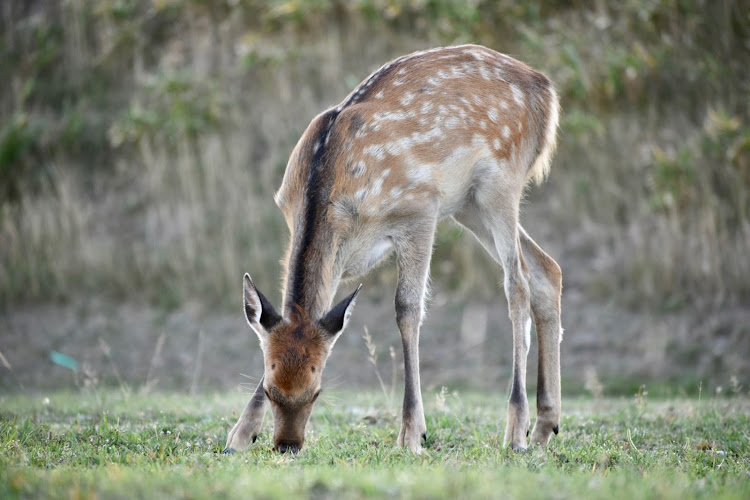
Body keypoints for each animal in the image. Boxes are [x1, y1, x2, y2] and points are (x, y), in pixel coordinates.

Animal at [223, 45, 564, 456]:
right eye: (272, 389)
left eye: (317, 392)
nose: (287, 445)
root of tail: (546, 90)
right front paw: (239, 436)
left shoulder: (419, 210)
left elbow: (407, 309)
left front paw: (412, 434)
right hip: (470, 204)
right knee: (547, 269)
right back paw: (545, 427)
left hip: (501, 180)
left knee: (518, 284)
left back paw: (516, 432)